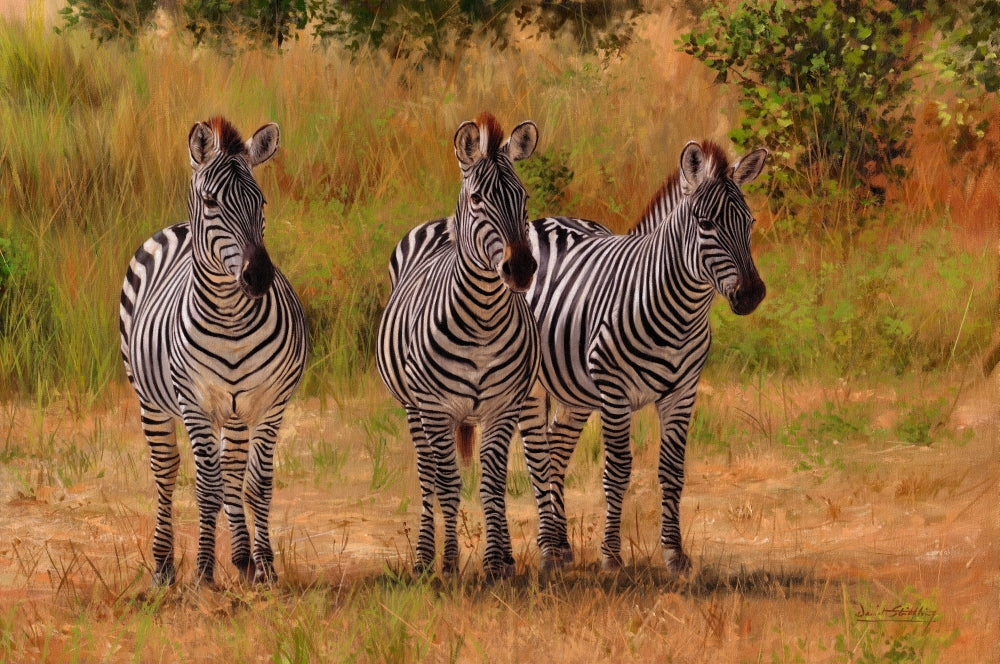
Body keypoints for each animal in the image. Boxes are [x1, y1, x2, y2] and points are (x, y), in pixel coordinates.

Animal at [119, 117, 308, 586]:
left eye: (261, 201)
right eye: (210, 201)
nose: (258, 276)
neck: (231, 319)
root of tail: (178, 226)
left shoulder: (270, 403)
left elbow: (255, 484)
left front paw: (265, 567)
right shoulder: (195, 403)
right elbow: (206, 486)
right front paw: (204, 572)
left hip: (236, 412)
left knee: (232, 473)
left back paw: (242, 560)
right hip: (151, 400)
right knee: (167, 471)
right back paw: (164, 566)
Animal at [376, 113, 540, 579]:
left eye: (523, 196)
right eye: (479, 198)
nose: (522, 268)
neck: (482, 319)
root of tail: (437, 224)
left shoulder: (503, 407)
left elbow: (493, 484)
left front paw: (498, 563)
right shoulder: (435, 407)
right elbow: (448, 484)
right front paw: (448, 563)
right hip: (415, 409)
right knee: (428, 476)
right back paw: (424, 559)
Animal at [519, 140, 768, 573]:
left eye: (750, 222)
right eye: (706, 224)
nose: (752, 295)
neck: (679, 312)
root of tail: (543, 221)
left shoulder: (682, 393)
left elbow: (672, 470)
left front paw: (675, 554)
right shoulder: (614, 391)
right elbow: (617, 471)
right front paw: (611, 556)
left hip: (574, 390)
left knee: (556, 449)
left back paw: (562, 547)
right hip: (536, 383)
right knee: (537, 454)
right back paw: (548, 551)